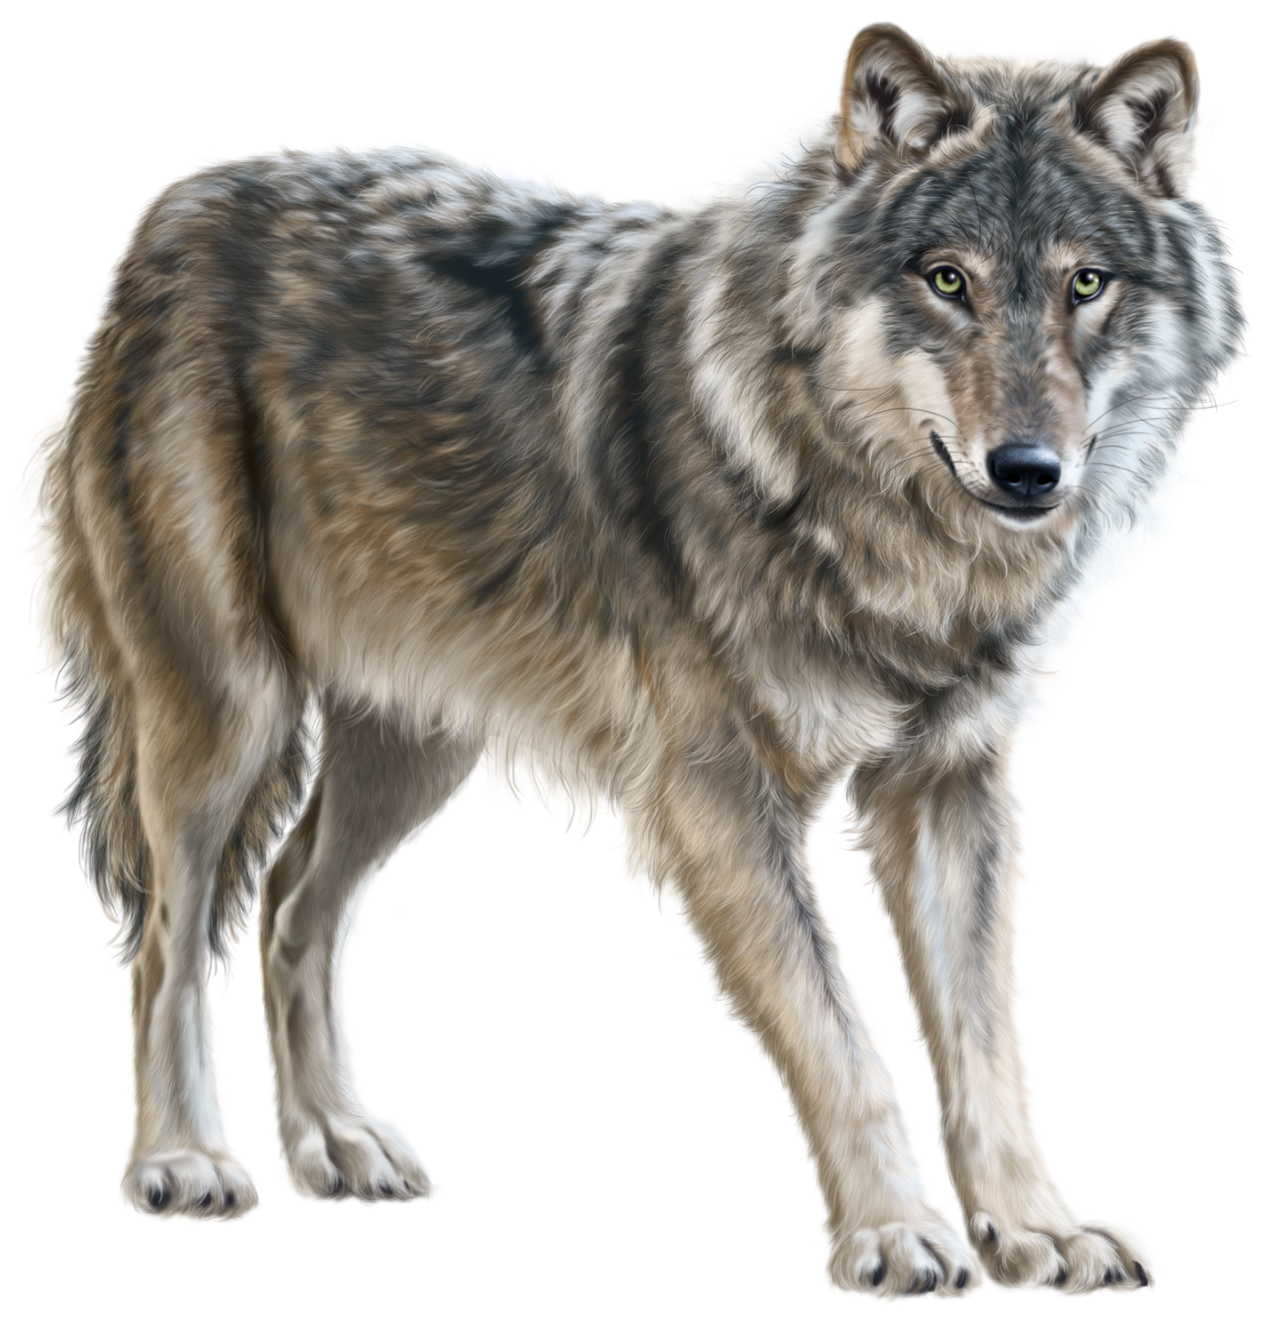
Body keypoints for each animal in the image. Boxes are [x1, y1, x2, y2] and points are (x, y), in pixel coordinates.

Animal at [19, 20, 1242, 1299]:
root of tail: (180, 210)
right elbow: (840, 1035)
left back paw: (337, 1144)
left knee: (295, 899)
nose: (1027, 470)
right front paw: (897, 1235)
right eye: (944, 278)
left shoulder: (949, 788)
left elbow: (987, 1047)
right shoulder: (715, 797)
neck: (875, 527)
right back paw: (183, 1160)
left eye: (1083, 284)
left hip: (414, 749)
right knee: (169, 933)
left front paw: (1035, 1228)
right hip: (227, 720)